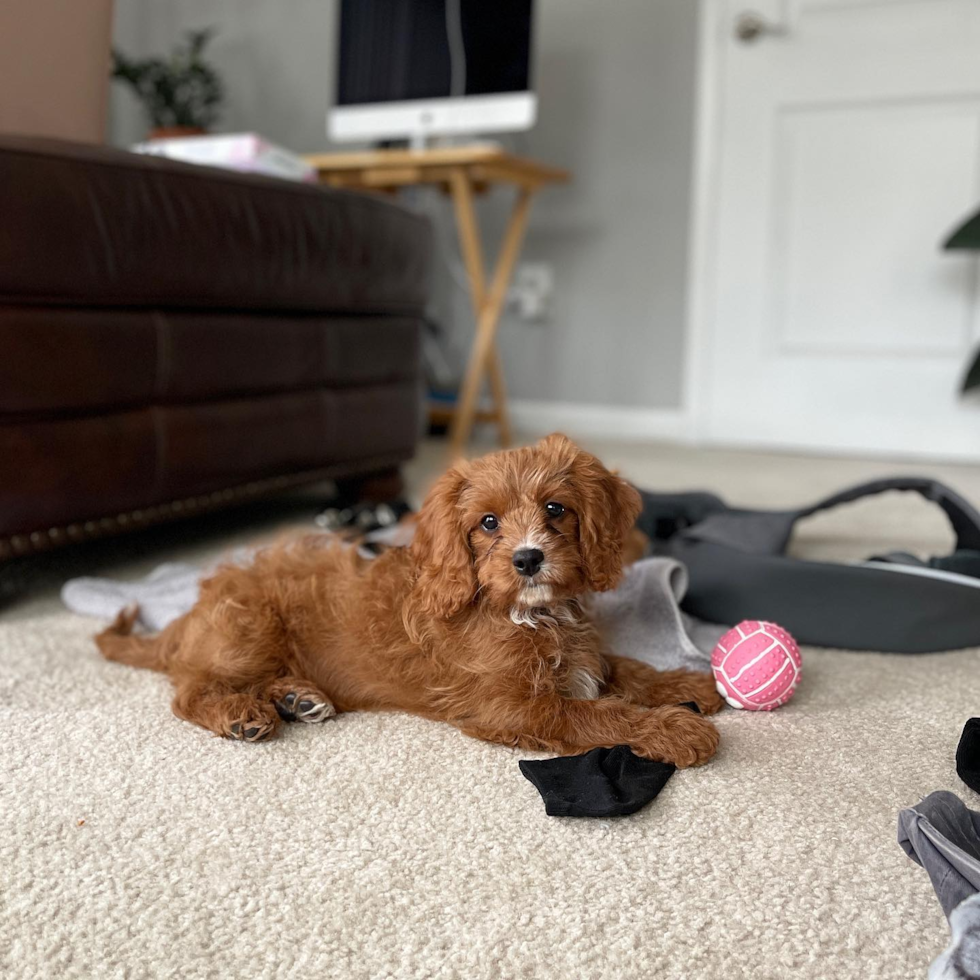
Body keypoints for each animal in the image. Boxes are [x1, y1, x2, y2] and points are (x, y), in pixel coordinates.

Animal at [97, 434, 720, 764]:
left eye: (555, 509)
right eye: (488, 523)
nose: (527, 559)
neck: (532, 614)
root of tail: (186, 620)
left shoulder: (582, 655)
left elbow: (624, 668)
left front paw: (686, 685)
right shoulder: (513, 707)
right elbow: (596, 712)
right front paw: (674, 730)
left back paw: (298, 697)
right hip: (246, 629)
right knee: (190, 690)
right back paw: (239, 714)